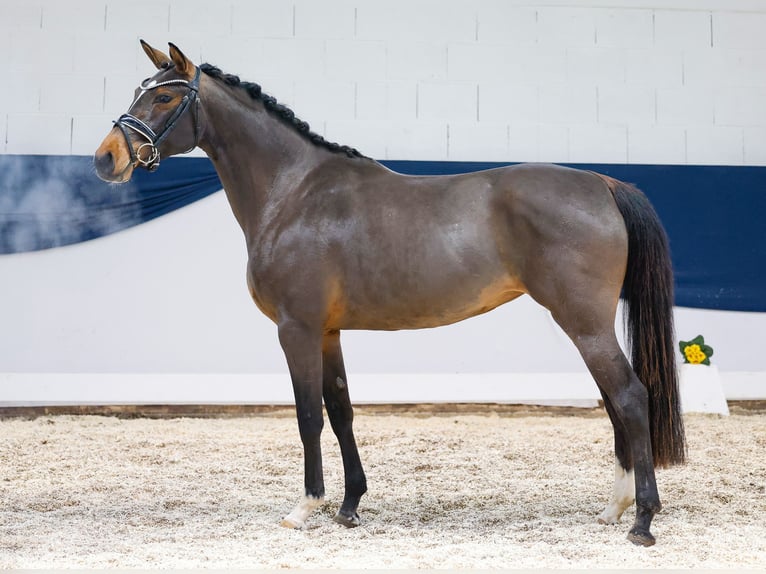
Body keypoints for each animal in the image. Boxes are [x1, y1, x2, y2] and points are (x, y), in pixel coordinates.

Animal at [93, 41, 688, 548]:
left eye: (164, 96)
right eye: (140, 89)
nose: (106, 159)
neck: (294, 193)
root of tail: (603, 184)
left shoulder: (296, 329)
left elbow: (308, 416)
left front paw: (305, 508)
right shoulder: (328, 331)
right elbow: (341, 411)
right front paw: (349, 506)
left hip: (584, 322)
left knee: (630, 397)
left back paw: (641, 521)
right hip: (587, 325)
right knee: (613, 401)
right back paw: (613, 508)